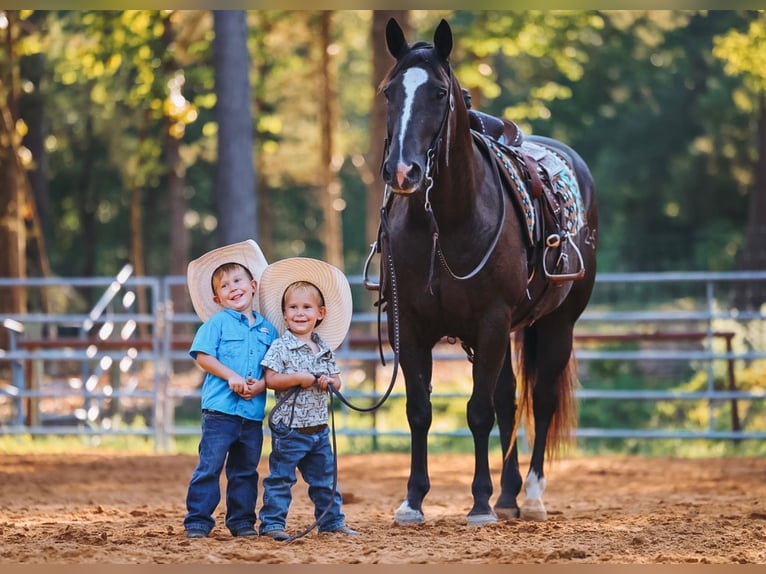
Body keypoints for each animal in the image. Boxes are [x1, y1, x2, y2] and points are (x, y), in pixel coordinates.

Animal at [371, 18, 599, 525]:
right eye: (389, 91)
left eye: (439, 92)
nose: (402, 172)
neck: (445, 223)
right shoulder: (409, 326)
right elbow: (420, 409)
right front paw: (413, 500)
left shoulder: (491, 322)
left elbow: (477, 412)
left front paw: (477, 502)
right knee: (509, 401)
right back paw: (509, 495)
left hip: (558, 323)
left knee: (542, 400)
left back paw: (531, 496)